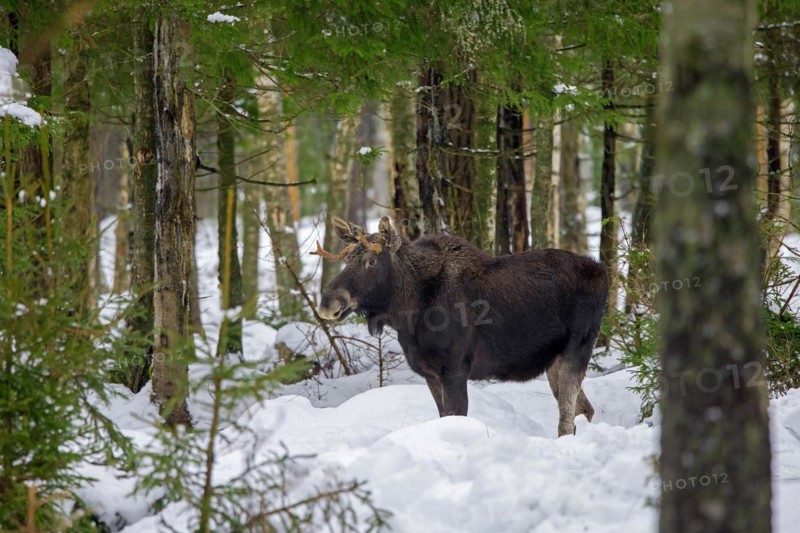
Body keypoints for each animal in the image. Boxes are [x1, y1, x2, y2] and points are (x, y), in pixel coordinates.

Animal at [314, 215, 609, 437]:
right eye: (347, 260)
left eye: (371, 261)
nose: (327, 303)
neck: (409, 310)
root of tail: (604, 273)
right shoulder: (430, 373)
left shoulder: (455, 369)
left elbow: (455, 415)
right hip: (553, 360)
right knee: (585, 409)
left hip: (578, 346)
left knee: (567, 419)